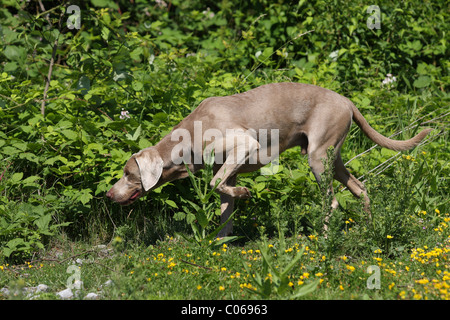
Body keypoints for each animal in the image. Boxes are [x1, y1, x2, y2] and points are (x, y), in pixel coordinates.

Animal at [106, 83, 432, 235]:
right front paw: (222, 241)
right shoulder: (229, 169)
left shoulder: (244, 145)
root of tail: (346, 100)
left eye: (128, 173)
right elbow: (224, 204)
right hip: (332, 157)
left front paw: (245, 192)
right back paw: (369, 229)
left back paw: (325, 239)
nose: (108, 195)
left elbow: (214, 183)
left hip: (318, 157)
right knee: (360, 188)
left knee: (332, 200)